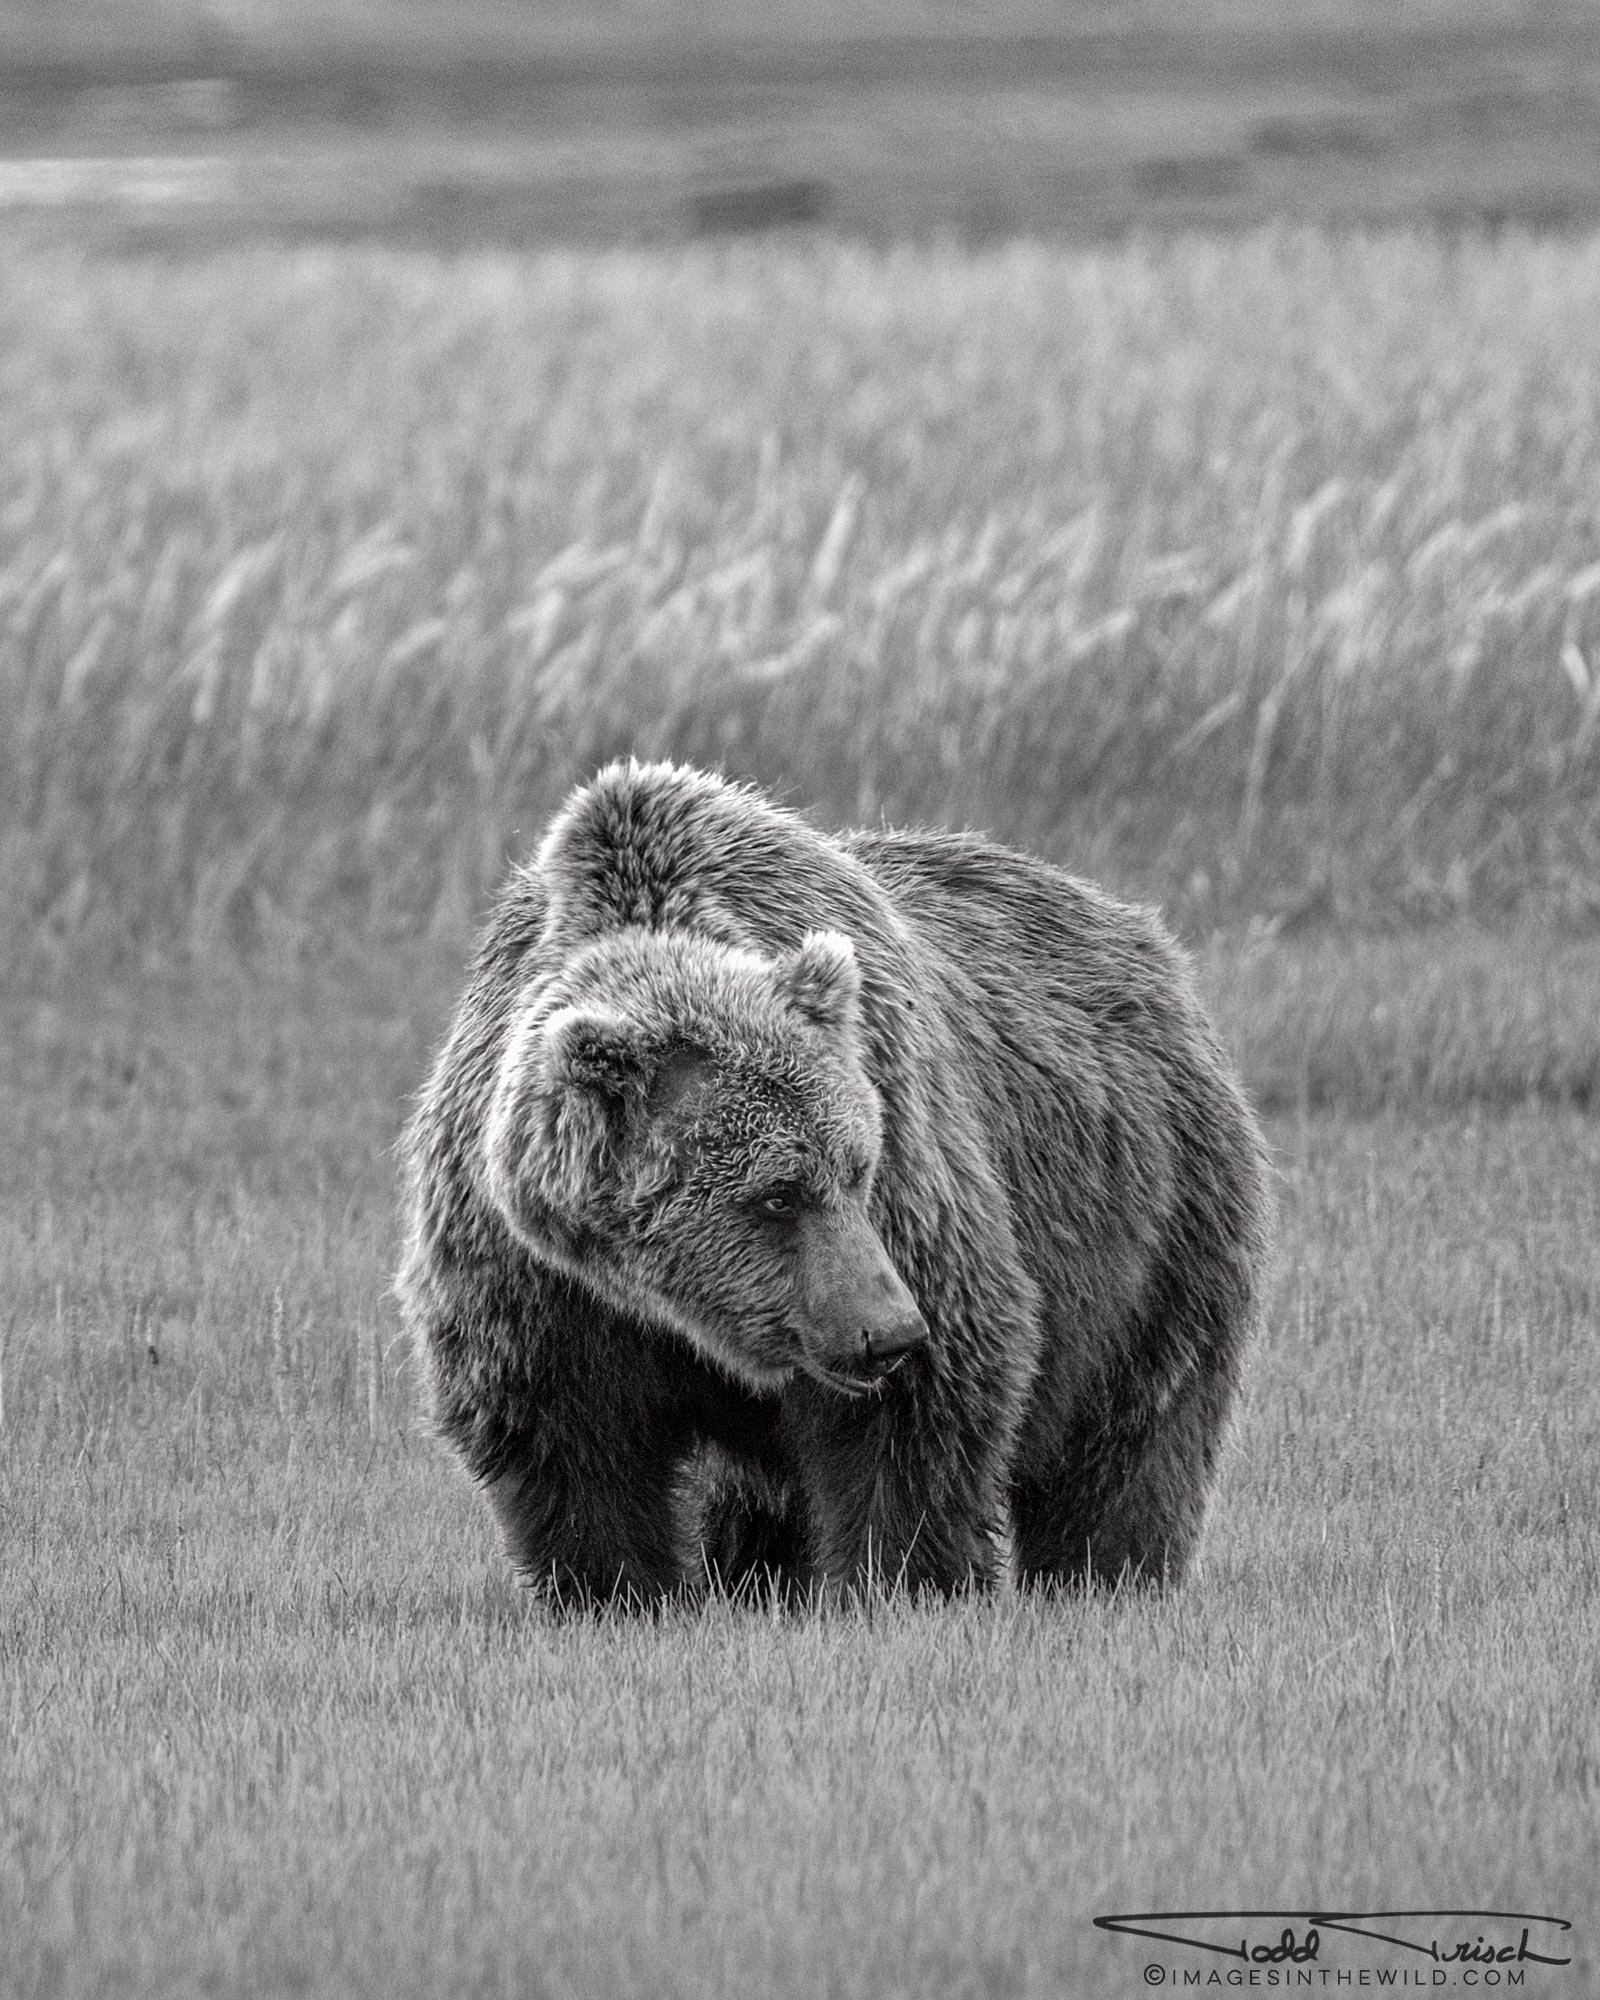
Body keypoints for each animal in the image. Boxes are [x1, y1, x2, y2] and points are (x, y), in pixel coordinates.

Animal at [396, 756, 1272, 1600]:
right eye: (778, 1192)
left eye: (858, 1170)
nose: (890, 1331)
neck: (660, 1299)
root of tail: (1137, 933)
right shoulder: (530, 1274)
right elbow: (571, 1441)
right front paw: (611, 1592)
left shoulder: (909, 1168)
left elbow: (918, 1414)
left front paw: (897, 1582)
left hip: (1154, 1223)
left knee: (1137, 1427)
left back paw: (1107, 1574)